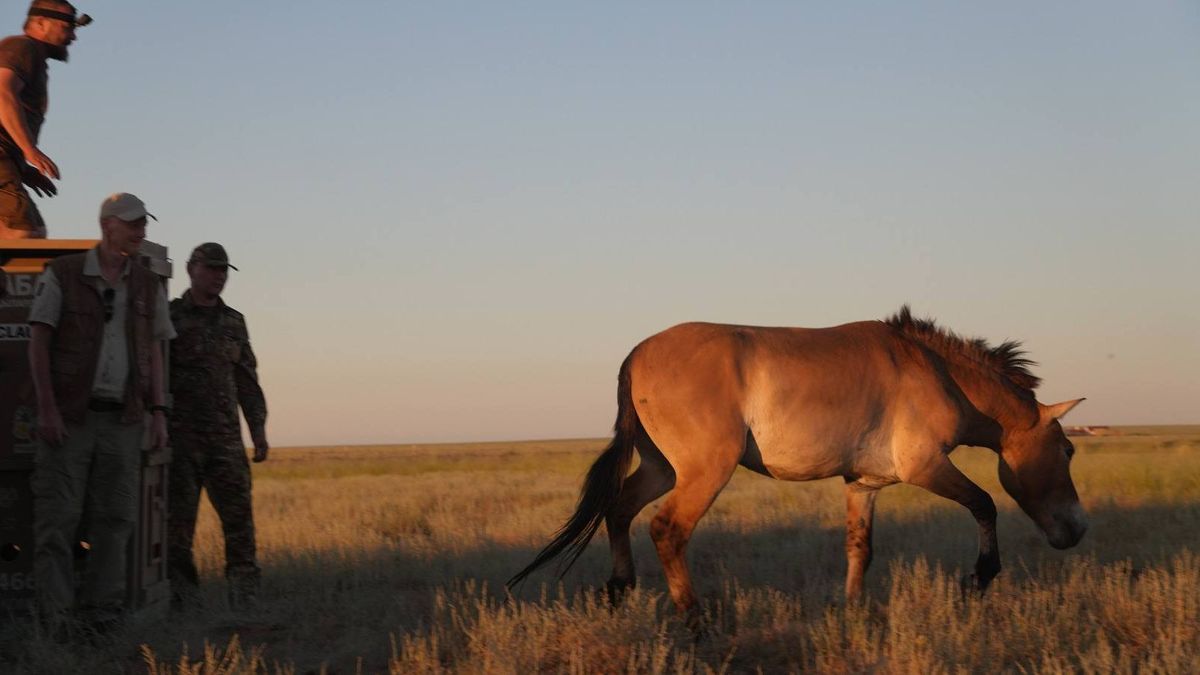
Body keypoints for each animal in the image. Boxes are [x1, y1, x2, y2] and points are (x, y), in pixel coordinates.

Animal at [508, 306, 1087, 619]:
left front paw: (852, 611)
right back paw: (694, 618)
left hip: (660, 468)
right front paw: (979, 578)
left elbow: (859, 548)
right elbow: (985, 504)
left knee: (619, 511)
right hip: (702, 472)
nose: (1078, 530)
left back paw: (619, 589)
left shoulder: (863, 484)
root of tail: (636, 355)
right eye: (1068, 450)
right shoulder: (925, 467)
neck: (934, 370)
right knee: (667, 529)